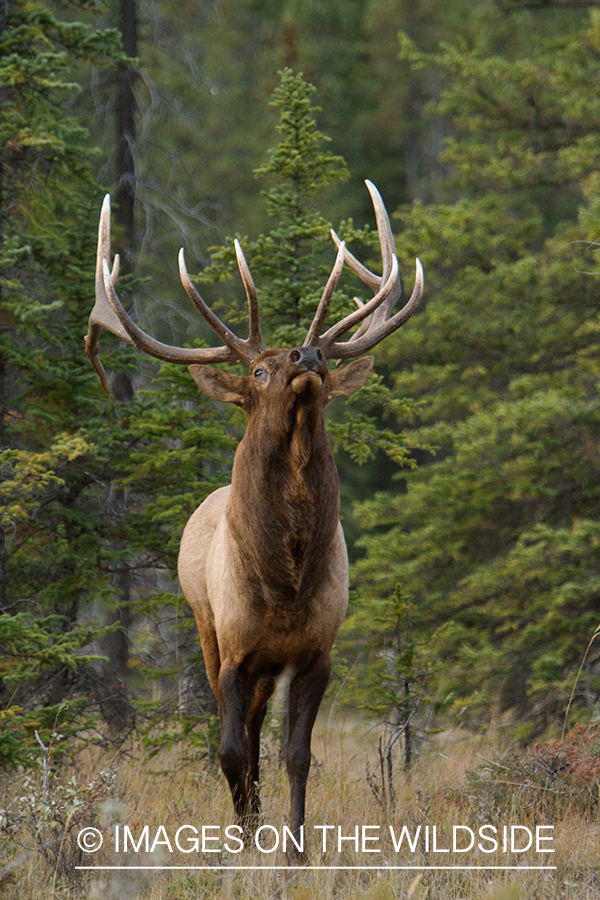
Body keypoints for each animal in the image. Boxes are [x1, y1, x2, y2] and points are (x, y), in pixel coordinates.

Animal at [85, 181, 422, 856]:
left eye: (319, 362)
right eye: (259, 370)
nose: (308, 353)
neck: (285, 582)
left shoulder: (317, 651)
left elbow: (296, 755)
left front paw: (293, 848)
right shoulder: (234, 650)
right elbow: (230, 751)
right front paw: (246, 842)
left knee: (265, 734)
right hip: (207, 631)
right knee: (239, 734)